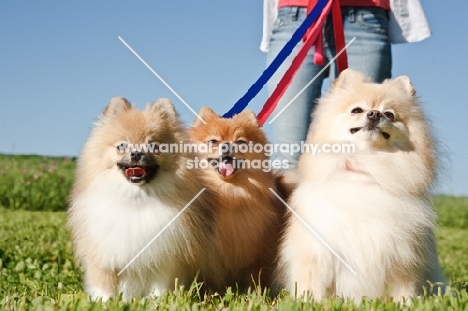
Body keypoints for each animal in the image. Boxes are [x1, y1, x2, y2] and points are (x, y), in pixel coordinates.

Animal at [68, 98, 218, 302]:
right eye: (122, 146)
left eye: (154, 146)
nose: (136, 153)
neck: (137, 197)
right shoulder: (103, 253)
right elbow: (104, 286)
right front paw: (104, 303)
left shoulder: (164, 256)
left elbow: (160, 287)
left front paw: (158, 302)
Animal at [189, 108, 286, 294]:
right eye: (213, 141)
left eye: (240, 142)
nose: (227, 145)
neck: (230, 193)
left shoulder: (258, 254)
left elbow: (255, 278)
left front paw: (256, 295)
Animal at [276, 69, 444, 304]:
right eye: (357, 110)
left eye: (389, 114)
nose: (374, 114)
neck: (365, 166)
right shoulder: (318, 250)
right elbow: (312, 283)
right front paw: (310, 303)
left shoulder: (401, 254)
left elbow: (403, 286)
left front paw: (405, 304)